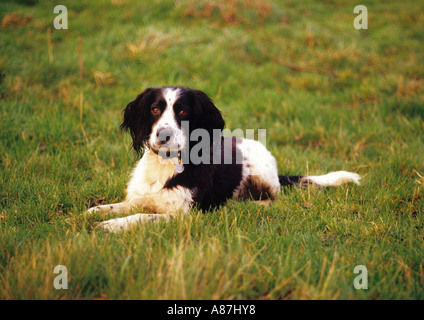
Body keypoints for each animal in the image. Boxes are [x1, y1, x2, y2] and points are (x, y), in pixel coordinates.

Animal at [87, 86, 362, 232]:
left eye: (183, 112)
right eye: (155, 109)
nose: (163, 135)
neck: (164, 165)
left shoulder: (183, 215)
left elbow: (142, 217)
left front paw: (110, 226)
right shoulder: (140, 198)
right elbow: (116, 207)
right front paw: (92, 213)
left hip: (261, 175)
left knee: (272, 198)